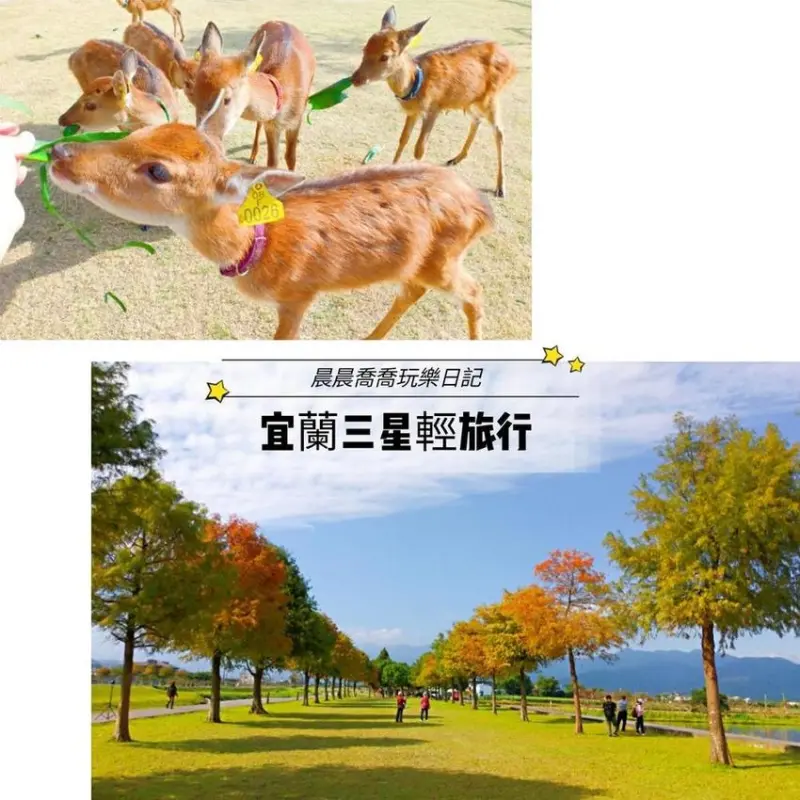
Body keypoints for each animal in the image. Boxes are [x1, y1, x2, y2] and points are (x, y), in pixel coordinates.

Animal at [46, 122, 492, 339]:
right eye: (136, 131)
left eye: (158, 170)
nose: (59, 152)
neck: (261, 249)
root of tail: (483, 208)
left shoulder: (300, 295)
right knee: (411, 290)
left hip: (444, 260)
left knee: (472, 291)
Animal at [173, 21, 315, 170]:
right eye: (194, 97)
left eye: (227, 99)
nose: (202, 138)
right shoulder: (271, 126)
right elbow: (272, 162)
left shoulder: (295, 121)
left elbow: (290, 158)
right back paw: (252, 157)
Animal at [352, 6, 518, 198]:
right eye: (365, 48)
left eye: (385, 56)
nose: (355, 79)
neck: (416, 85)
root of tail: (512, 62)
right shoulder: (413, 112)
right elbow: (403, 139)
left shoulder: (433, 109)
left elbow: (419, 148)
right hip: (469, 99)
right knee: (476, 120)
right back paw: (455, 158)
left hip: (491, 97)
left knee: (499, 132)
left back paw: (500, 188)